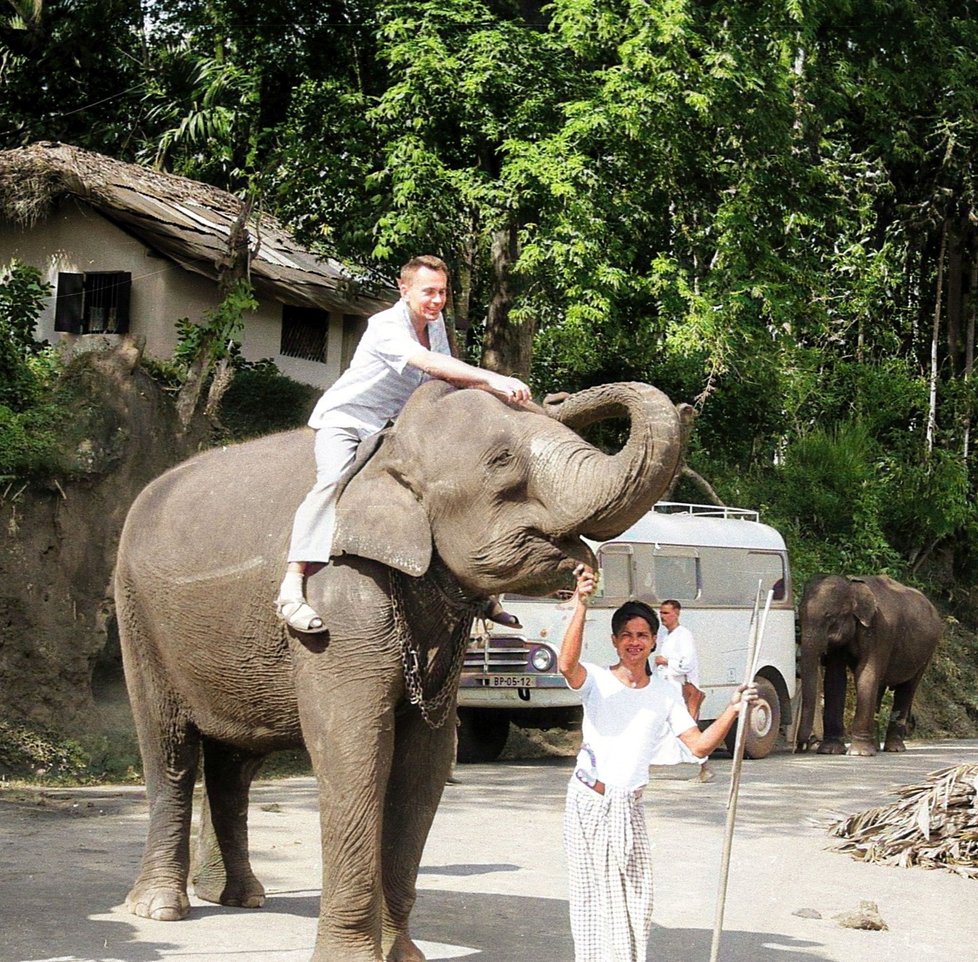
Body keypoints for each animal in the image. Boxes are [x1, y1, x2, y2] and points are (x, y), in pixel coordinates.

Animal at [116, 376, 680, 960]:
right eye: (502, 461)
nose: (554, 395)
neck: (391, 448)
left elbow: (424, 761)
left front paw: (404, 955)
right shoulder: (337, 600)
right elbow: (355, 750)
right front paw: (350, 957)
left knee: (235, 761)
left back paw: (241, 896)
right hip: (136, 615)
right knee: (170, 749)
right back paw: (160, 907)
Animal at [796, 572, 940, 752]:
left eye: (829, 617)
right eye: (799, 615)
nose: (801, 745)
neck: (851, 586)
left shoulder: (881, 630)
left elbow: (866, 673)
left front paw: (859, 752)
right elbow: (835, 679)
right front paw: (830, 750)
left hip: (927, 652)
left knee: (907, 688)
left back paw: (893, 748)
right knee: (880, 688)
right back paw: (876, 747)